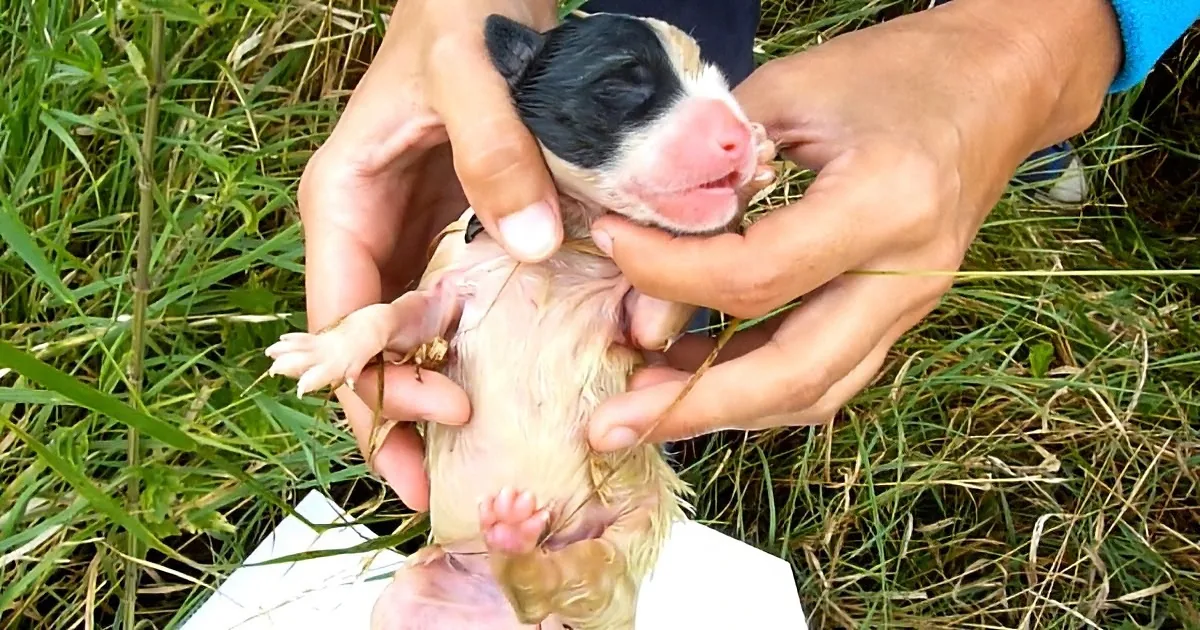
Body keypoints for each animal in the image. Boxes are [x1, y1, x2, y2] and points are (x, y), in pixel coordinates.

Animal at [264, 11, 777, 630]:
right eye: (620, 83)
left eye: (715, 77)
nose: (736, 133)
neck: (570, 240)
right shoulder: (448, 286)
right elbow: (392, 315)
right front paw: (327, 348)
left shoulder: (638, 318)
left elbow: (656, 319)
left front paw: (756, 171)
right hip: (419, 591)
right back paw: (513, 542)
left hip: (626, 532)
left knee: (582, 574)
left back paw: (521, 546)